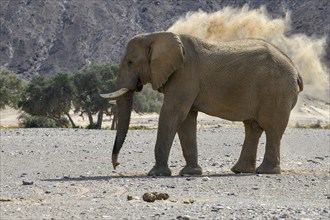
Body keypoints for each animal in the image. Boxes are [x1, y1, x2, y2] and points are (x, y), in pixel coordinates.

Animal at [101, 31, 304, 176]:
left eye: (130, 62)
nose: (117, 165)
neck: (156, 36)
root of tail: (295, 69)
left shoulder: (185, 75)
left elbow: (172, 113)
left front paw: (155, 174)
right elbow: (186, 119)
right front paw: (190, 173)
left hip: (277, 90)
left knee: (271, 127)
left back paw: (266, 171)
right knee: (252, 127)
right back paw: (240, 170)